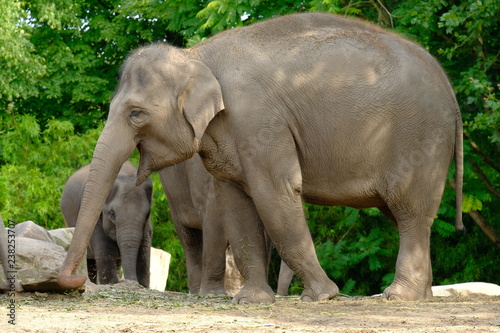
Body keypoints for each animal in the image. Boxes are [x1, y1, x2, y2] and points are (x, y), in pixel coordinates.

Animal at [58, 13, 464, 304]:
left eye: (136, 114)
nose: (75, 280)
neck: (197, 56)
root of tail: (450, 89)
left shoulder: (258, 122)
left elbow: (275, 193)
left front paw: (322, 296)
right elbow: (236, 205)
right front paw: (252, 301)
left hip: (420, 139)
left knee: (409, 212)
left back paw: (398, 296)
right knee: (406, 216)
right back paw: (421, 296)